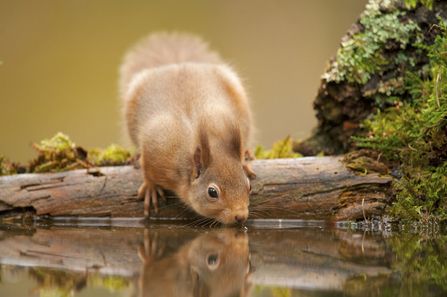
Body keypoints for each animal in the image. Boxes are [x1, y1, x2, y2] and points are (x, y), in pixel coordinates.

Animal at [120, 32, 256, 223]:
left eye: (249, 186)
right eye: (212, 192)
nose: (241, 216)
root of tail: (178, 64)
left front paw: (243, 161)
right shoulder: (158, 145)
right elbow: (146, 165)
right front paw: (150, 187)